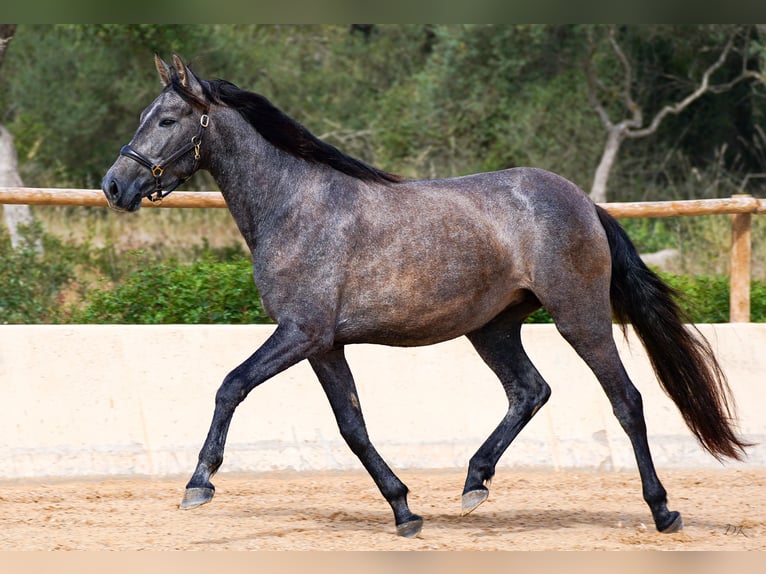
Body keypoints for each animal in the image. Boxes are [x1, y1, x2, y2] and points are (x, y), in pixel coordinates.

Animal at [100, 54, 752, 540]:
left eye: (166, 120)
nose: (114, 185)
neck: (294, 205)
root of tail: (583, 202)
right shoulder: (323, 345)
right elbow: (353, 426)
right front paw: (405, 511)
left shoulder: (300, 332)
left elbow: (231, 385)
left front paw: (199, 484)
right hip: (492, 327)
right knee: (530, 391)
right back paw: (474, 484)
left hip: (579, 317)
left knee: (627, 401)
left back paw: (663, 510)